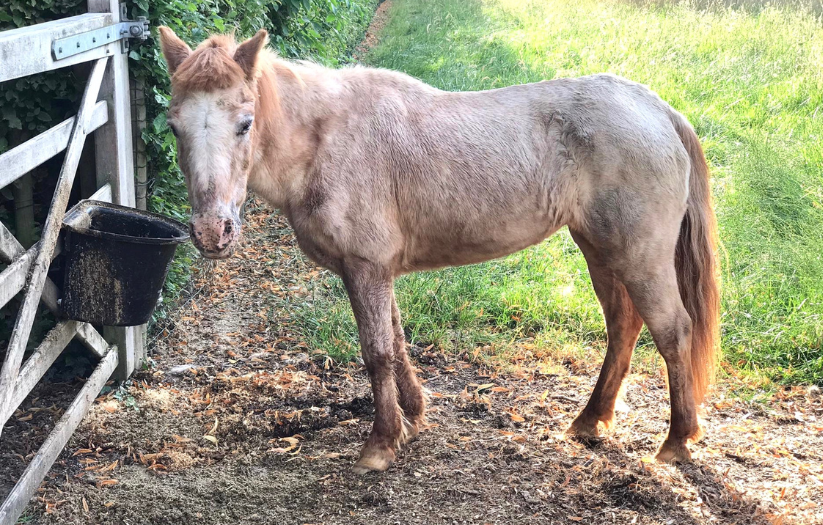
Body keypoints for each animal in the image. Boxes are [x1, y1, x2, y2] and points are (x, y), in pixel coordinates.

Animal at [157, 27, 720, 474]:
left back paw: (675, 442)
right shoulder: (376, 271)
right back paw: (589, 421)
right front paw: (413, 417)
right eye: (173, 126)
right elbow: (398, 342)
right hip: (600, 250)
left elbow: (377, 352)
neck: (325, 140)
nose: (211, 232)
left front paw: (381, 444)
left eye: (244, 123)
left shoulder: (365, 268)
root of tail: (656, 108)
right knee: (623, 326)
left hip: (639, 255)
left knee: (673, 330)